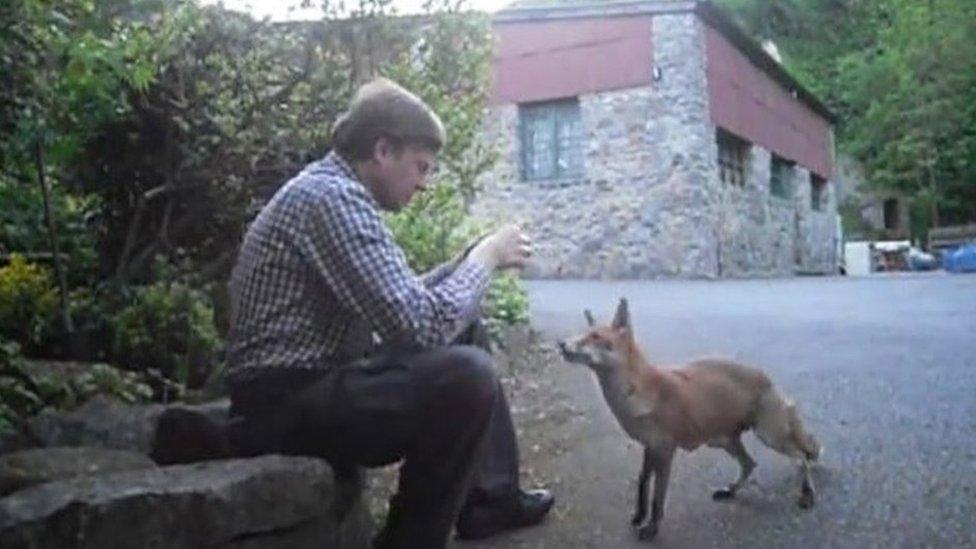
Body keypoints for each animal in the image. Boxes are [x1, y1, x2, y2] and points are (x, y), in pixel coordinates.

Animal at [556, 298, 816, 540]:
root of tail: (766, 376)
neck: (638, 396)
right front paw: (639, 516)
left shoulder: (665, 450)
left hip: (768, 435)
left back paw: (807, 495)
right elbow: (642, 483)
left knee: (800, 459)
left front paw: (652, 528)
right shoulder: (650, 447)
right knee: (750, 464)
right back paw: (731, 491)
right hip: (723, 441)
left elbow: (658, 497)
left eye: (595, 337)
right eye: (582, 334)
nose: (560, 343)